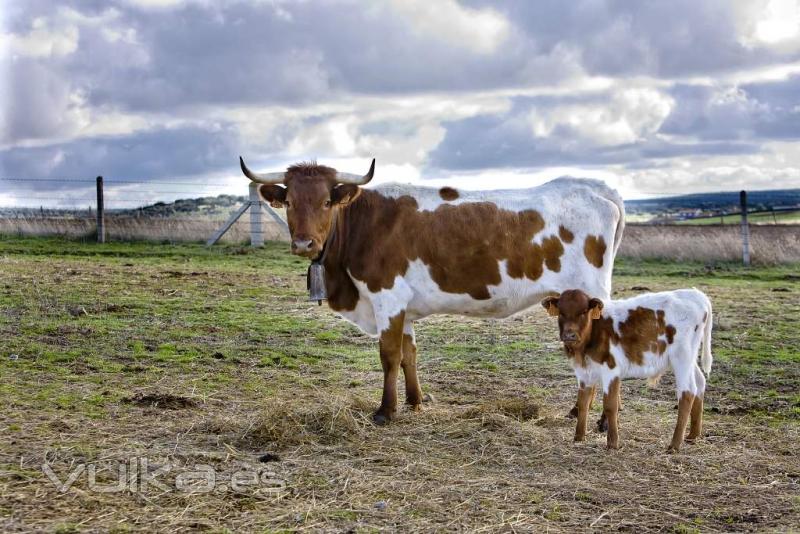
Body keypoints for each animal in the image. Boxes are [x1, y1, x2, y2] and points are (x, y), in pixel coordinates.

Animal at [241, 157, 628, 426]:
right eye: (290, 202)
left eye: (326, 202)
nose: (303, 243)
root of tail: (596, 187)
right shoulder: (404, 307)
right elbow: (409, 354)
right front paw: (415, 401)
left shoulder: (386, 297)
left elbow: (389, 355)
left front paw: (386, 411)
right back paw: (579, 413)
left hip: (591, 296)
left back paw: (599, 419)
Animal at [544, 288, 712, 452]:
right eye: (561, 312)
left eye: (584, 311)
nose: (569, 335)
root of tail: (695, 293)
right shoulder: (583, 372)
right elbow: (583, 402)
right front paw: (578, 437)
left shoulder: (611, 369)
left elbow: (610, 406)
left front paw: (612, 443)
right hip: (690, 358)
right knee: (700, 382)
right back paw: (693, 435)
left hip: (682, 357)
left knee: (688, 392)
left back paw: (675, 444)